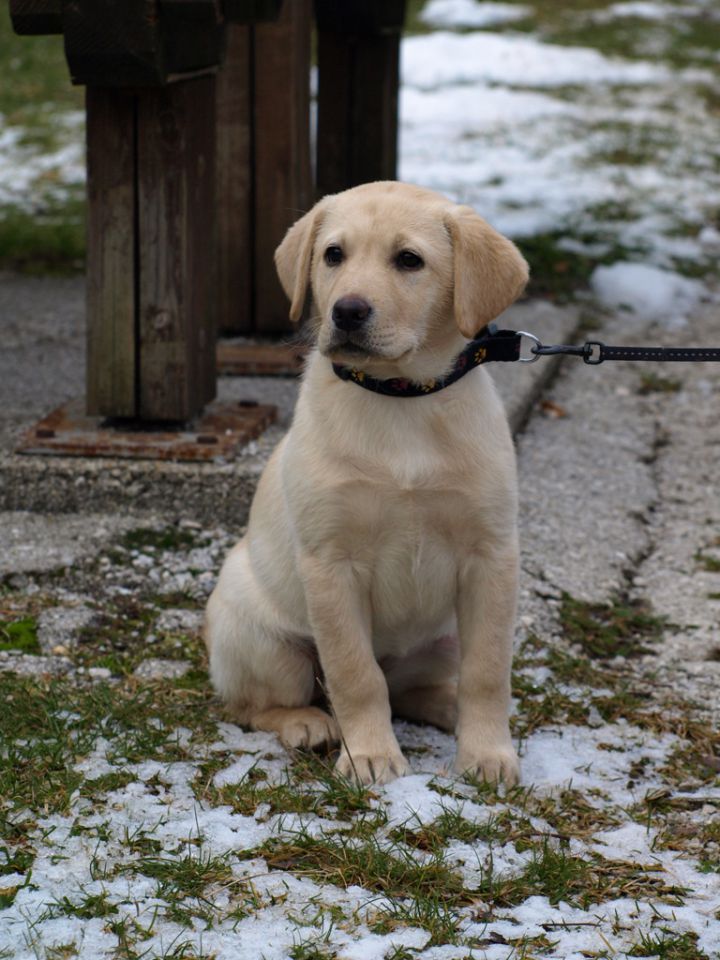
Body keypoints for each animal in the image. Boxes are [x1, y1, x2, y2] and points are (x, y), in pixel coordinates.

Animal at [205, 182, 524, 788]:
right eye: (333, 255)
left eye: (409, 260)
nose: (347, 311)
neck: (401, 397)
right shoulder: (332, 564)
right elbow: (355, 674)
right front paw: (370, 756)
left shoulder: (491, 557)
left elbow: (489, 671)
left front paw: (488, 753)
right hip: (262, 639)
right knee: (255, 704)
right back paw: (307, 723)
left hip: (444, 639)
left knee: (410, 689)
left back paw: (446, 705)